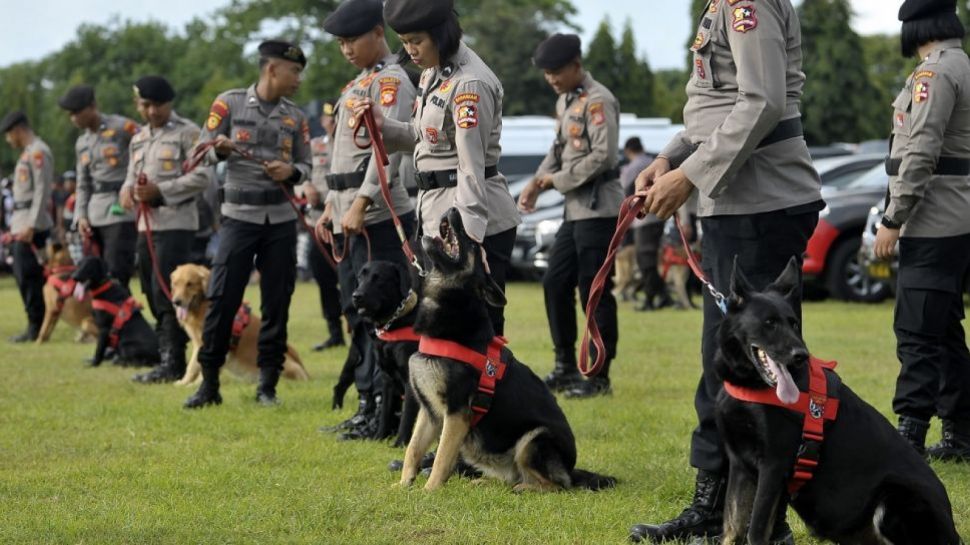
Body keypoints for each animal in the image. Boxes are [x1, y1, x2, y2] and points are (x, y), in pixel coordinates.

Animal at [167, 262, 306, 382]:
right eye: (175, 284)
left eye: (189, 284)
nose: (176, 302)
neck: (203, 306)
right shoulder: (198, 344)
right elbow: (192, 366)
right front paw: (182, 383)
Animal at [352, 260, 420, 446]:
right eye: (360, 277)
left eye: (378, 278)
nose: (356, 295)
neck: (393, 324)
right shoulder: (387, 380)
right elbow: (385, 413)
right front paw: (378, 438)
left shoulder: (410, 380)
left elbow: (406, 416)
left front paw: (400, 443)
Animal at [398, 208, 612, 492]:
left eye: (474, 245)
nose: (453, 210)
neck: (452, 304)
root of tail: (571, 469)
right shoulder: (429, 413)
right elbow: (412, 450)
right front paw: (402, 486)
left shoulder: (456, 413)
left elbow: (442, 457)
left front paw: (429, 491)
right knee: (519, 477)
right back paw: (485, 483)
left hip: (534, 439)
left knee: (556, 485)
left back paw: (523, 489)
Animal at [716, 258, 956, 544]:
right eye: (769, 322)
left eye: (794, 323)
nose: (801, 355)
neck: (751, 386)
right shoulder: (740, 466)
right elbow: (732, 526)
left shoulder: (773, 466)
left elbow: (755, 530)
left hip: (893, 499)